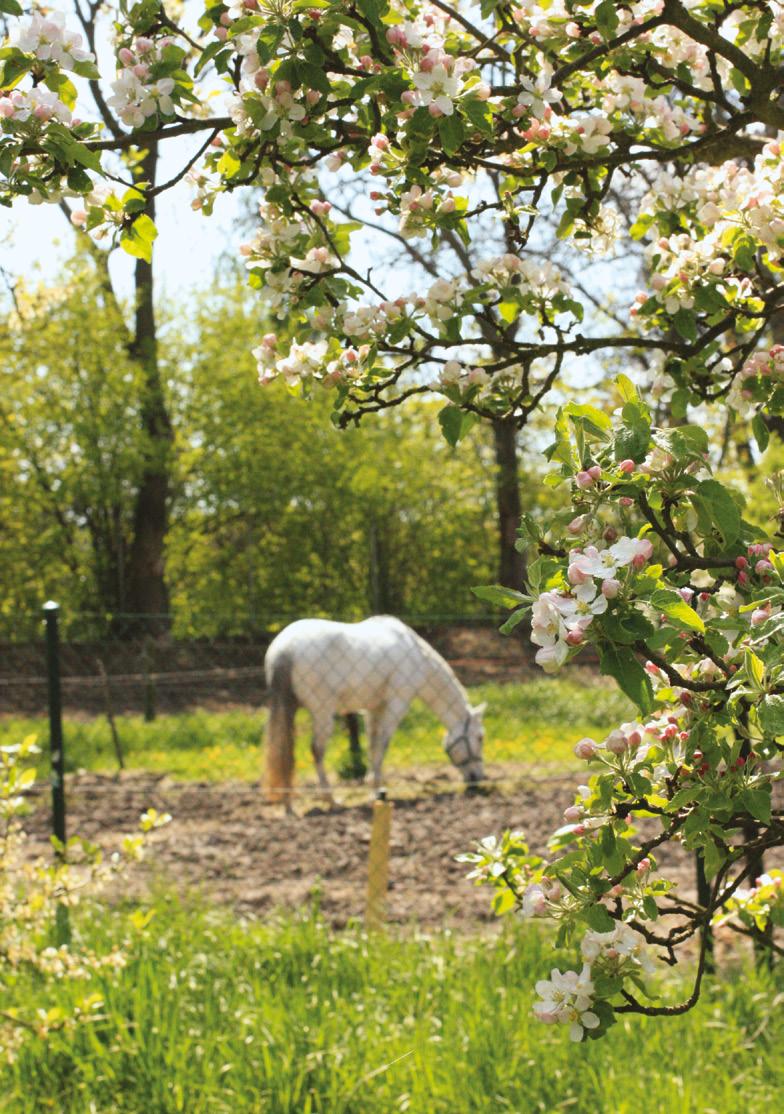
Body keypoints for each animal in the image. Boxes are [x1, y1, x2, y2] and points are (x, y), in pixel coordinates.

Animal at [263, 616, 486, 803]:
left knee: (284, 752)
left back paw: (288, 805)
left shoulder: (373, 710)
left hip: (289, 711)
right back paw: (330, 799)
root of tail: (285, 649)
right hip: (322, 713)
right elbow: (382, 745)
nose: (478, 779)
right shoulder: (396, 705)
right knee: (316, 751)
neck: (415, 654)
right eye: (480, 737)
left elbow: (372, 746)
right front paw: (378, 791)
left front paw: (374, 789)